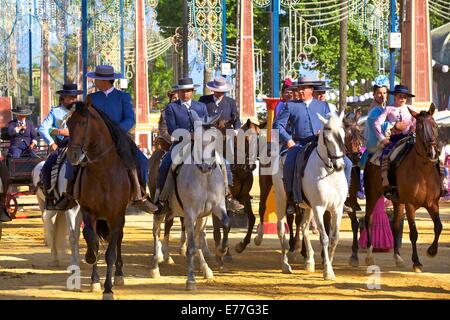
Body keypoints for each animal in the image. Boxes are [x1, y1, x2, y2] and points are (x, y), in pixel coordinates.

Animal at [66, 100, 131, 300]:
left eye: (83, 122)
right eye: (68, 124)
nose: (72, 155)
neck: (103, 172)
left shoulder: (116, 216)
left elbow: (110, 253)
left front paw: (108, 289)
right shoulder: (89, 212)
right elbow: (91, 239)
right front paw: (94, 273)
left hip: (119, 218)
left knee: (118, 240)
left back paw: (119, 275)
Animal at [270, 110, 348, 280]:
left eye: (343, 134)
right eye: (328, 139)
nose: (340, 166)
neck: (329, 173)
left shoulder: (337, 209)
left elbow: (335, 238)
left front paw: (328, 263)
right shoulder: (319, 208)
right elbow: (324, 238)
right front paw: (328, 271)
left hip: (308, 207)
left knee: (304, 228)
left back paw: (309, 261)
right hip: (281, 200)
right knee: (281, 229)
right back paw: (285, 265)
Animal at [364, 104, 442, 272]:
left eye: (434, 125)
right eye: (419, 127)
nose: (432, 152)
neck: (423, 170)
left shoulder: (433, 204)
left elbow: (438, 226)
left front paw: (432, 251)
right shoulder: (410, 204)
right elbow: (413, 233)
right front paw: (417, 262)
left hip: (397, 202)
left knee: (395, 226)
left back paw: (398, 258)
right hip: (372, 194)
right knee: (368, 219)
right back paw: (369, 256)